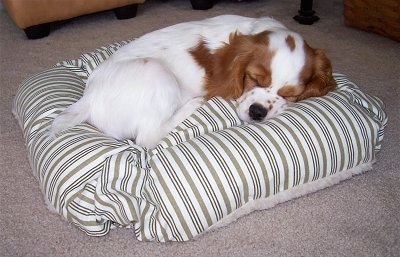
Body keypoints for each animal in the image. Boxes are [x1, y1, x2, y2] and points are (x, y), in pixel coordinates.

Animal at [50, 15, 338, 148]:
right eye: (254, 78)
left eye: (290, 94)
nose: (258, 112)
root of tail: (88, 98)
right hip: (158, 73)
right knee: (147, 138)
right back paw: (192, 105)